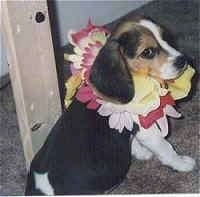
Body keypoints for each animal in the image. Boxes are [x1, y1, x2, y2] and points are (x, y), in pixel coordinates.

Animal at [25, 16, 195, 195]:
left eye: (165, 38)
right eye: (148, 52)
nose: (183, 60)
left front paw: (140, 152)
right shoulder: (148, 131)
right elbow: (166, 147)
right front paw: (181, 163)